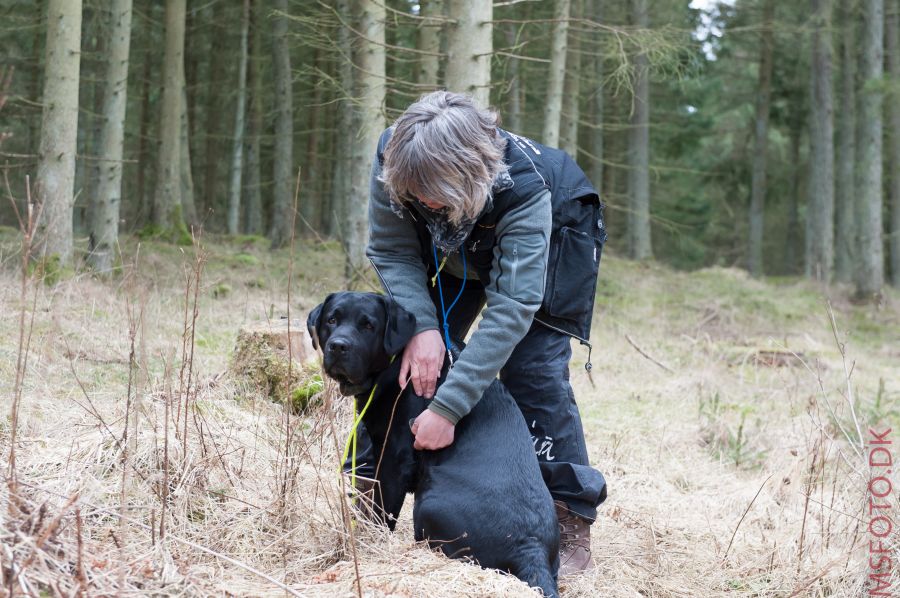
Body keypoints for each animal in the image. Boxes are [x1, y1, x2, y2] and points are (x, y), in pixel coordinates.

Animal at [312, 292, 564, 596]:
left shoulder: (395, 457)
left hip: (429, 502)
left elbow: (382, 509)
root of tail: (531, 548)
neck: (395, 365)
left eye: (368, 326)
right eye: (331, 320)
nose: (338, 346)